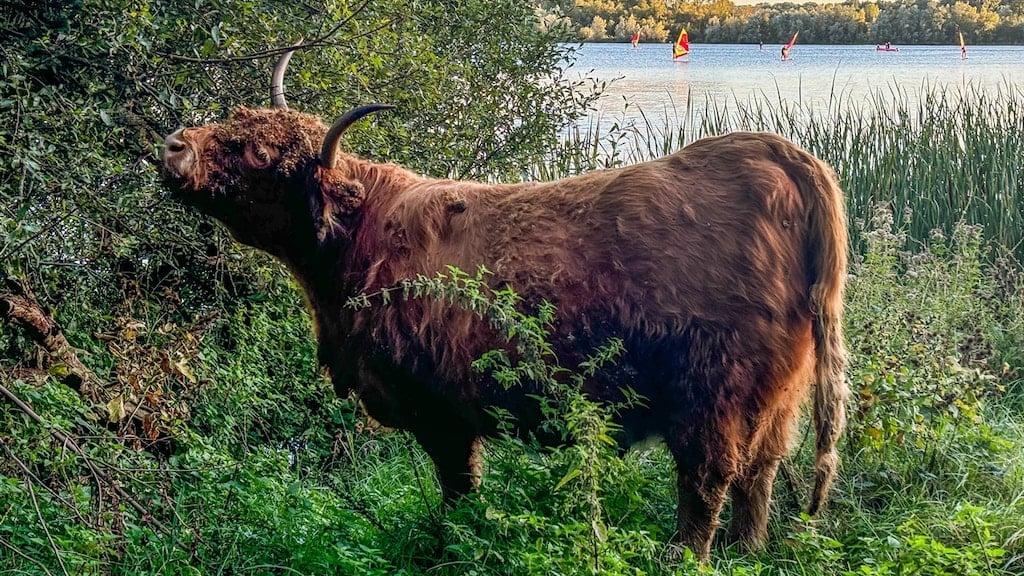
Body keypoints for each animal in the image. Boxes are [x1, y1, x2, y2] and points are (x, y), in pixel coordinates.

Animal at [159, 47, 847, 557]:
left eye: (257, 154)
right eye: (233, 120)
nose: (174, 146)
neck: (356, 244)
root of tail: (776, 155)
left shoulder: (439, 406)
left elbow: (458, 487)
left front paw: (453, 546)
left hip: (711, 392)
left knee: (708, 479)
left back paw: (685, 557)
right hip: (777, 393)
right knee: (760, 474)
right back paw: (745, 551)